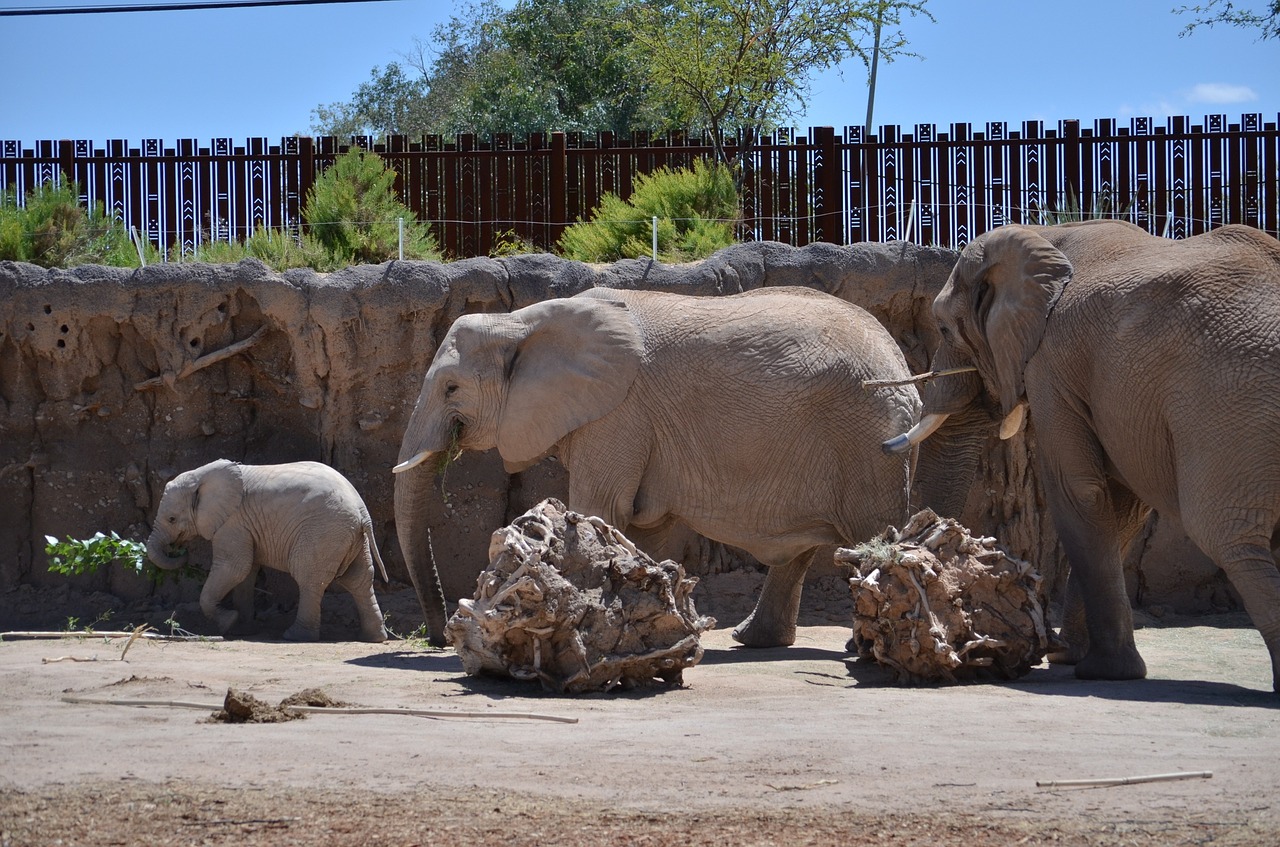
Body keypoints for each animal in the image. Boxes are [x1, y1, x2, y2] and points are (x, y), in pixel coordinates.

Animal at [146, 465, 386, 644]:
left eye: (171, 519)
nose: (181, 549)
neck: (202, 476)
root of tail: (362, 512)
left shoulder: (233, 521)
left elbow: (234, 567)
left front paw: (228, 621)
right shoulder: (244, 525)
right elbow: (247, 573)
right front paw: (242, 629)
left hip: (324, 532)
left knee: (309, 579)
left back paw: (295, 636)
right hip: (352, 537)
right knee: (359, 580)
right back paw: (373, 637)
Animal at [885, 222, 1280, 696]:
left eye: (943, 329)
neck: (1046, 232)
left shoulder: (1051, 364)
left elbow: (1077, 494)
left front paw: (1103, 671)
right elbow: (1120, 508)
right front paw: (1065, 655)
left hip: (1230, 400)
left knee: (1226, 536)